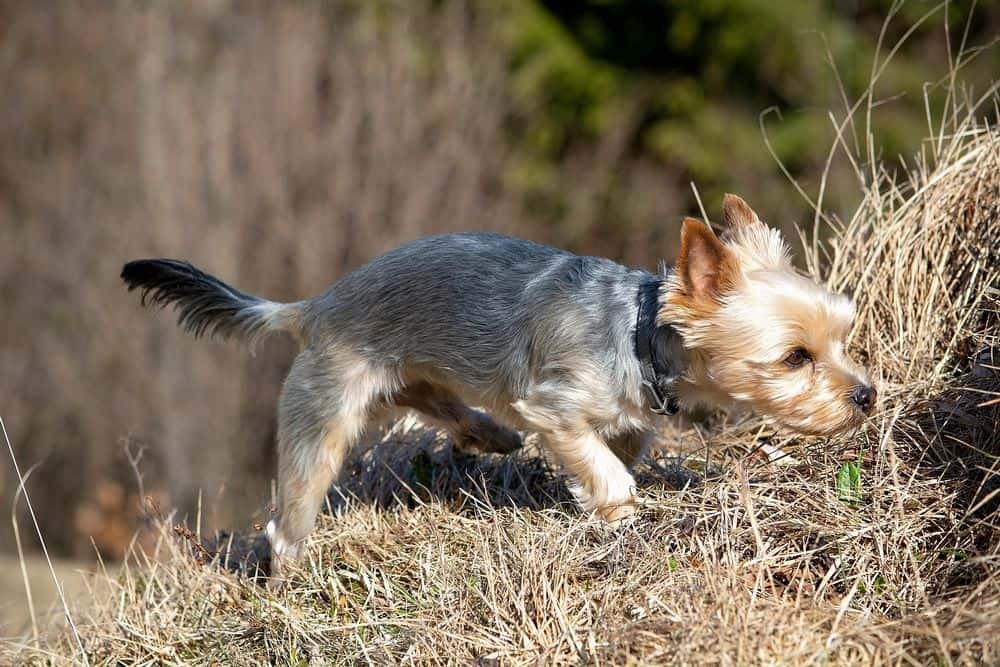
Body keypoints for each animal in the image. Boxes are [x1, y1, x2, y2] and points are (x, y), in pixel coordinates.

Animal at [123, 193, 876, 576]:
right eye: (795, 357)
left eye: (844, 336)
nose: (866, 395)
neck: (637, 333)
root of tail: (316, 305)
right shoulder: (554, 406)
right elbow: (607, 472)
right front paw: (620, 516)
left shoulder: (626, 420)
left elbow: (618, 453)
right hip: (325, 417)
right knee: (289, 521)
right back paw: (289, 580)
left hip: (409, 373)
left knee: (433, 399)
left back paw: (487, 434)